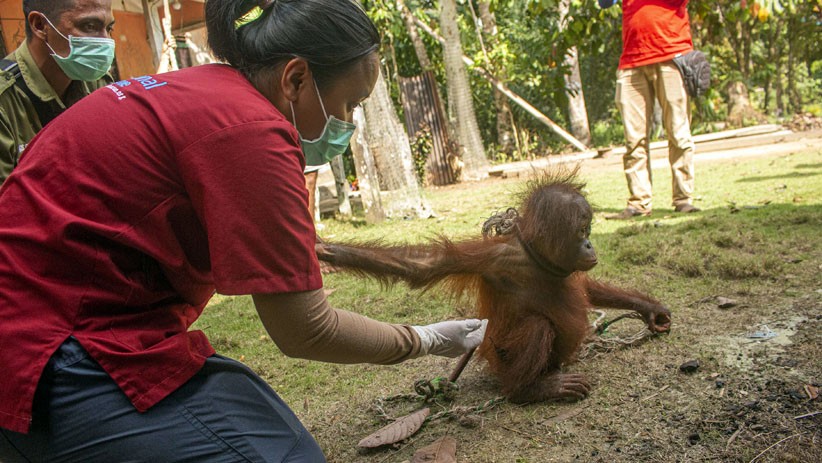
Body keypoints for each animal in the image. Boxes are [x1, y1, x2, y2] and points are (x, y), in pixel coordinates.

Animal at [315, 168, 671, 403]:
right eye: (582, 230)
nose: (589, 245)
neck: (537, 259)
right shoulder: (494, 258)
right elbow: (424, 265)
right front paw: (330, 252)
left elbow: (587, 288)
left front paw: (650, 310)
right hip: (502, 360)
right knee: (537, 326)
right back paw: (532, 389)